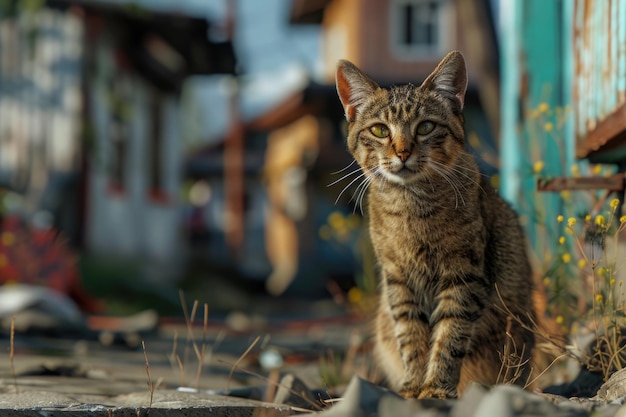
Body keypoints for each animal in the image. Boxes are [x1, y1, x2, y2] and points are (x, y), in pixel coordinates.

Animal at [334, 50, 532, 398]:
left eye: (425, 127)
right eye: (380, 131)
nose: (402, 152)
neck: (411, 206)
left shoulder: (464, 276)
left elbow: (449, 336)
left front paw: (436, 387)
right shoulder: (398, 280)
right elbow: (411, 337)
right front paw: (413, 386)